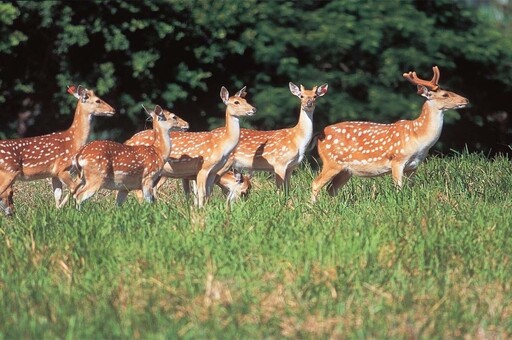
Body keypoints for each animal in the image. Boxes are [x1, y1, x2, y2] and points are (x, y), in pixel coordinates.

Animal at [0, 84, 114, 215]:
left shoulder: (53, 173)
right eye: (98, 100)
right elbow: (73, 188)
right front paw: (64, 209)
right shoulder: (62, 168)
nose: (113, 110)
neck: (74, 141)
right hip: (9, 172)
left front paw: (57, 211)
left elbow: (57, 195)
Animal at [310, 65, 470, 202]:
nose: (466, 100)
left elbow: (411, 188)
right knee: (316, 183)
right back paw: (312, 208)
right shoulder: (397, 160)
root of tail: (319, 135)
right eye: (445, 94)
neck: (419, 137)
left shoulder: (414, 166)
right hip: (331, 162)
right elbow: (398, 188)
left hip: (345, 170)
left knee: (331, 189)